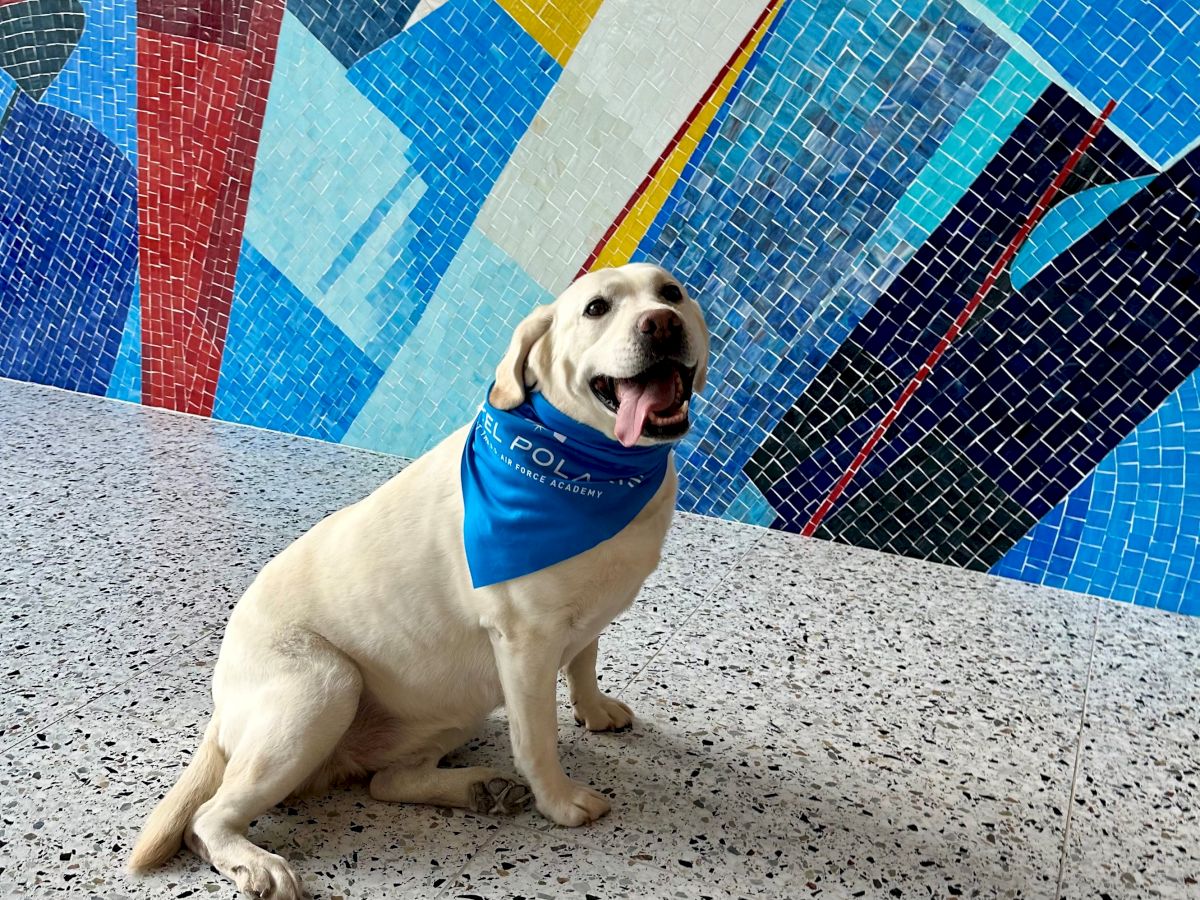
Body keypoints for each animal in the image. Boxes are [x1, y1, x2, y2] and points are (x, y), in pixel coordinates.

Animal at [129, 262, 710, 900]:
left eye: (671, 293)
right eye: (597, 308)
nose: (662, 324)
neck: (593, 466)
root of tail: (221, 705)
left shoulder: (584, 621)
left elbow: (584, 663)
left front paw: (595, 708)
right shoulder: (526, 646)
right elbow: (538, 740)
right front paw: (559, 802)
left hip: (452, 708)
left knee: (384, 782)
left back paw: (478, 788)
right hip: (325, 688)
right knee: (206, 821)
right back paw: (257, 864)